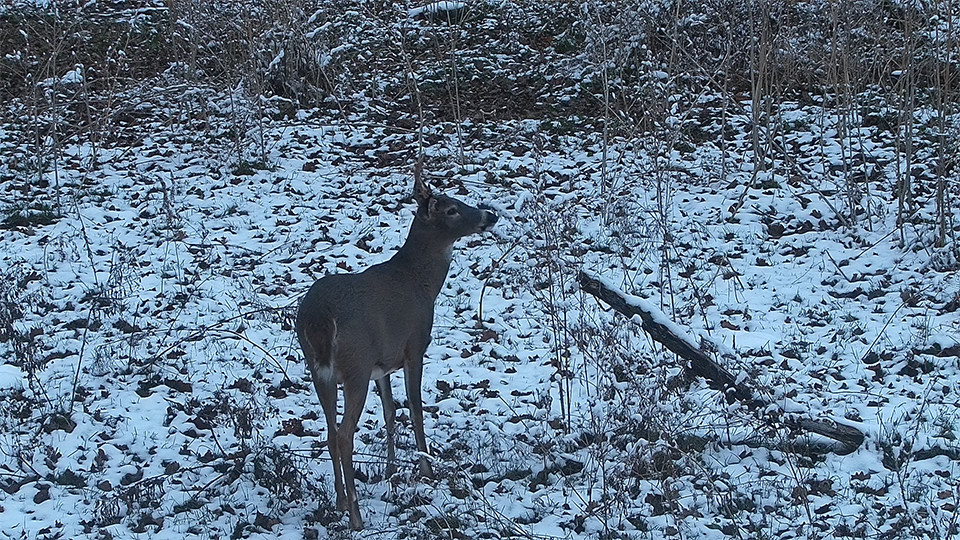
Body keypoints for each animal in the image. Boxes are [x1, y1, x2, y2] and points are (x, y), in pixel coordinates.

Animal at [296, 169, 498, 528]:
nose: (490, 215)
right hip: (355, 365)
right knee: (344, 435)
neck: (421, 282)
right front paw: (427, 469)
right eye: (452, 210)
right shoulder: (414, 346)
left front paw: (391, 469)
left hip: (320, 372)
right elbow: (415, 409)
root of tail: (318, 319)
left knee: (331, 433)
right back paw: (356, 516)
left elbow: (390, 412)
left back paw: (340, 502)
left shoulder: (383, 363)